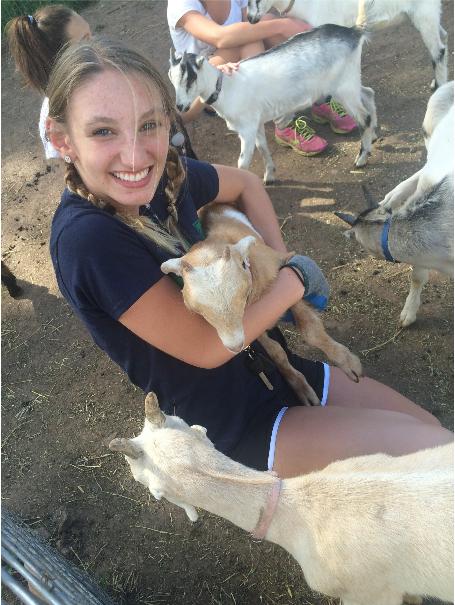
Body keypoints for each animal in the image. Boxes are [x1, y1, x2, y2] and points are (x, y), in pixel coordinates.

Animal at [162, 203, 362, 406]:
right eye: (195, 310)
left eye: (243, 293)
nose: (235, 346)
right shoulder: (252, 325)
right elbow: (276, 351)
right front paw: (301, 389)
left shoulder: (286, 275)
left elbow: (310, 330)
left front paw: (348, 362)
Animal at [169, 1, 380, 183]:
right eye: (171, 78)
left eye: (190, 78)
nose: (180, 106)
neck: (226, 86)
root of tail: (354, 32)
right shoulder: (257, 123)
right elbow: (262, 147)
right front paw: (270, 175)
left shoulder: (247, 129)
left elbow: (243, 162)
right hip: (348, 82)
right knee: (369, 93)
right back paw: (373, 137)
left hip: (343, 88)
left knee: (364, 116)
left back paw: (361, 159)